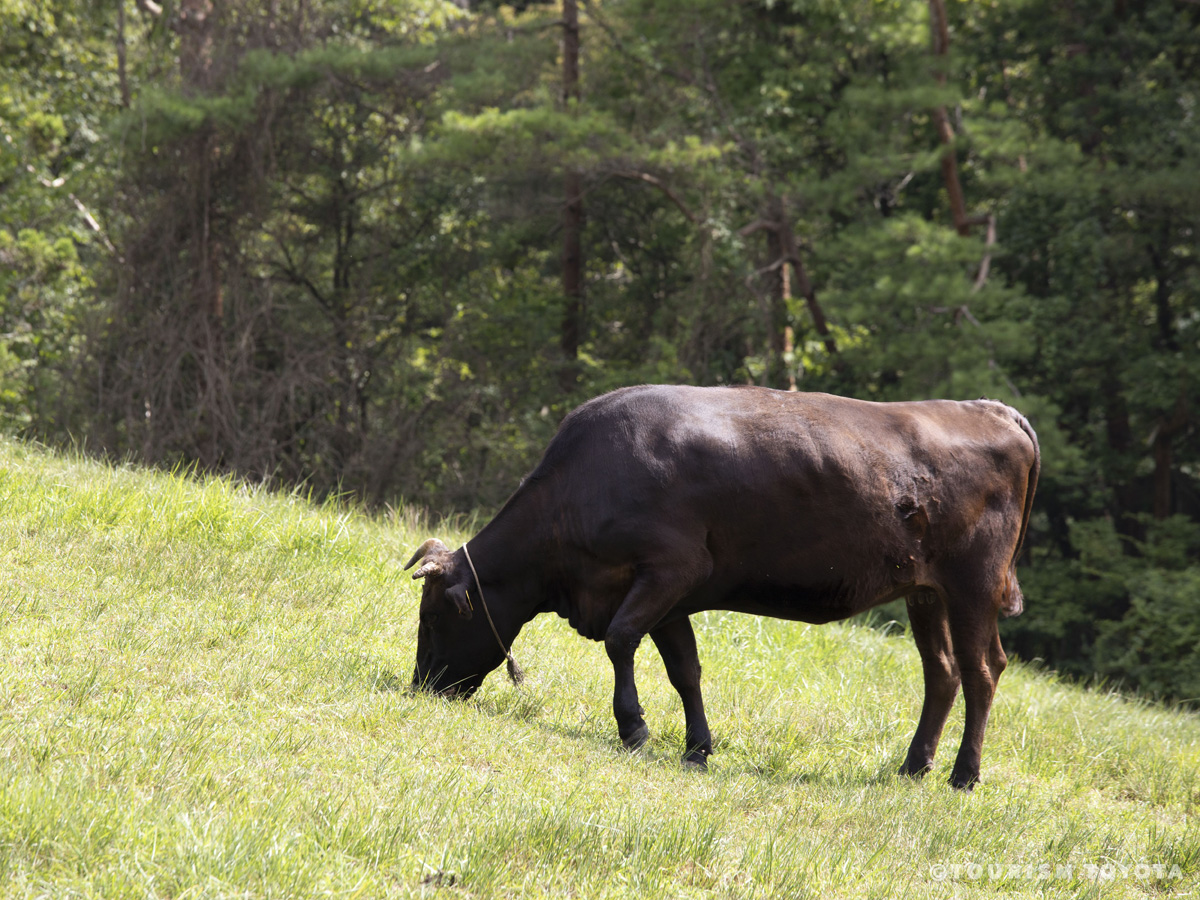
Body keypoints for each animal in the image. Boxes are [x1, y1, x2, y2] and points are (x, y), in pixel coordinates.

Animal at [408, 384, 1036, 792]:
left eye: (432, 618)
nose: (421, 688)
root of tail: (990, 408)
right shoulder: (670, 595)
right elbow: (684, 668)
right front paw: (697, 749)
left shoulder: (670, 568)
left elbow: (620, 640)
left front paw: (634, 728)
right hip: (925, 590)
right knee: (943, 673)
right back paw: (913, 768)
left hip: (974, 585)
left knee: (982, 671)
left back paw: (964, 775)